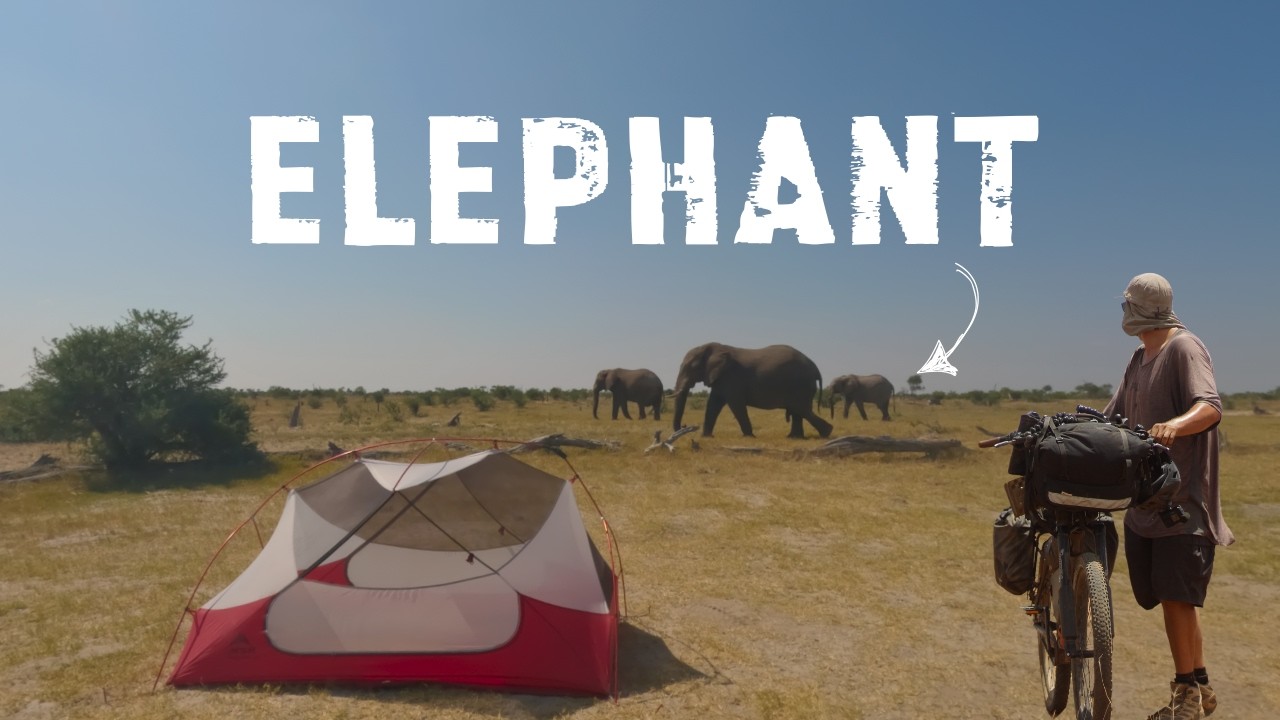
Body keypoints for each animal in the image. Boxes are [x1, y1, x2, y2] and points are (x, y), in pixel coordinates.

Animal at [671, 342, 833, 439]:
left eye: (691, 368)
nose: (684, 426)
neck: (714, 347)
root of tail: (815, 367)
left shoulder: (732, 378)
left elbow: (736, 405)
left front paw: (749, 437)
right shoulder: (720, 379)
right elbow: (713, 405)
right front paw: (706, 437)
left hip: (801, 386)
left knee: (801, 409)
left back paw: (826, 433)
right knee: (798, 411)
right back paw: (794, 437)